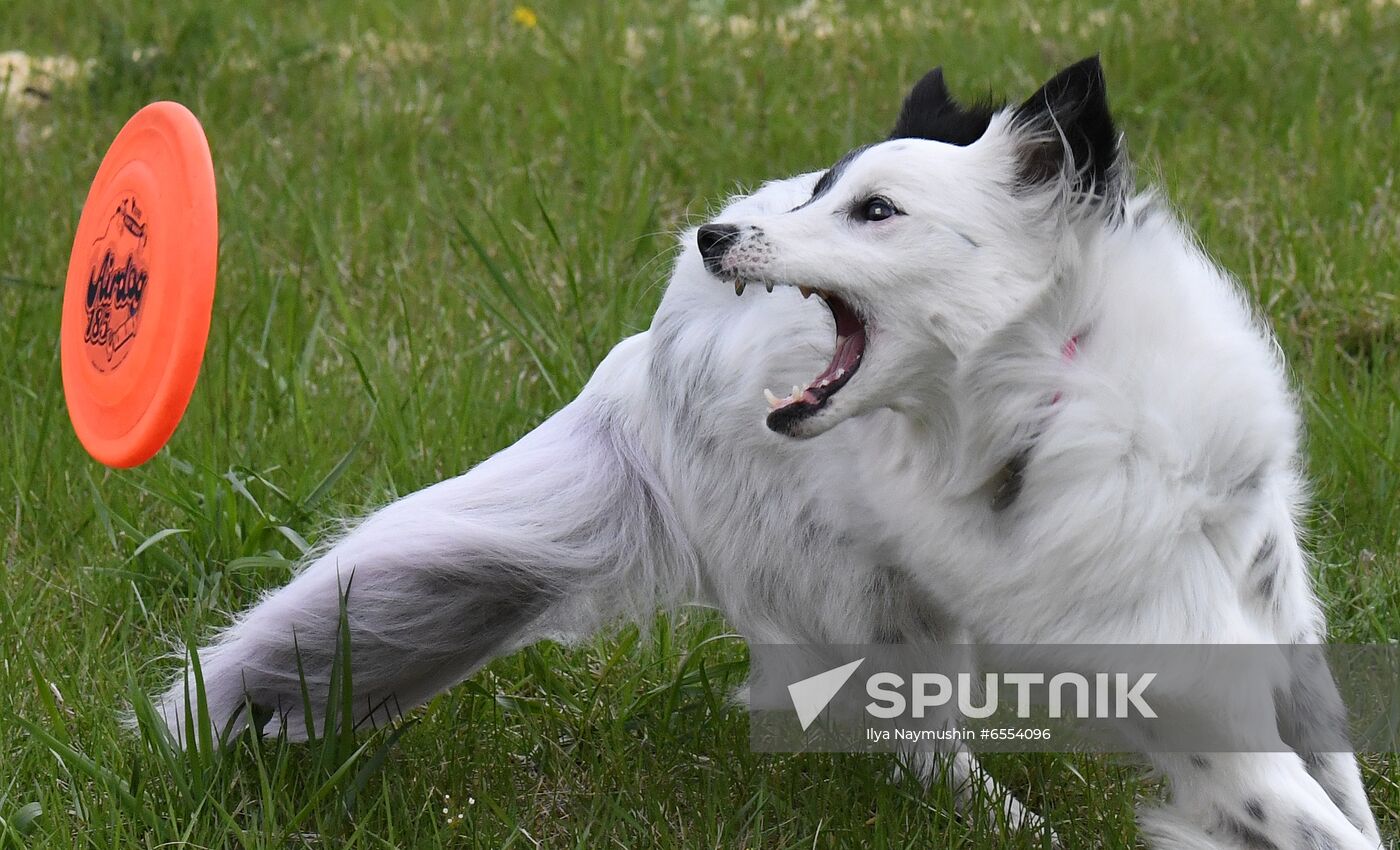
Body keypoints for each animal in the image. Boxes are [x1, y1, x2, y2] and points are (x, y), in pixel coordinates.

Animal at [156, 56, 1377, 845]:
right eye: (825, 192)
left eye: (874, 209)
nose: (711, 234)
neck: (1067, 388)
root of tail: (643, 353)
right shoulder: (1189, 690)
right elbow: (1301, 812)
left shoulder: (1270, 612)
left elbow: (1340, 780)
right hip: (872, 615)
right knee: (917, 746)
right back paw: (1016, 828)